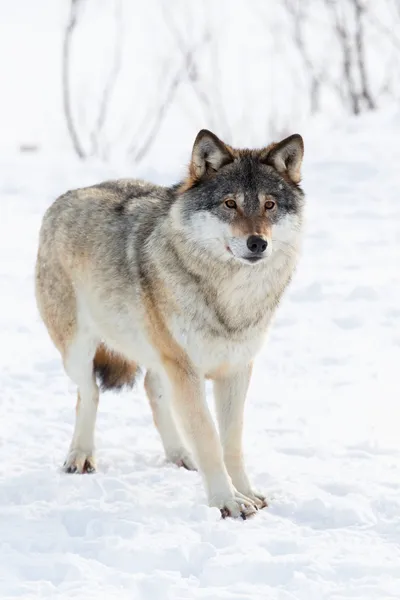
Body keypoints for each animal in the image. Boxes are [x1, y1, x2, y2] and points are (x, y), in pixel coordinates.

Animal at [35, 129, 304, 516]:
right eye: (229, 204)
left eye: (270, 205)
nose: (257, 243)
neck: (230, 299)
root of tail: (67, 196)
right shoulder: (185, 368)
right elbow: (208, 437)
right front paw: (227, 503)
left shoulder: (236, 369)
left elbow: (231, 441)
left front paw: (246, 493)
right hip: (78, 351)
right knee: (89, 392)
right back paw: (81, 456)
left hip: (156, 355)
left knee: (151, 387)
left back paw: (180, 455)